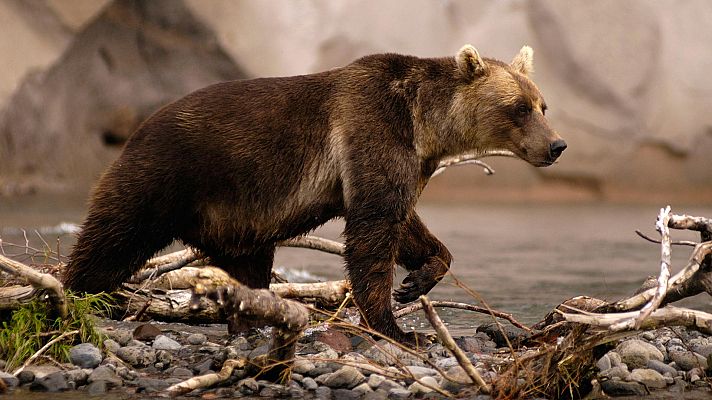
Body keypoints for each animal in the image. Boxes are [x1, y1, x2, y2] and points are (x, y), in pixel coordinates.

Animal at [64, 44, 566, 344]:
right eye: (519, 107)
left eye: (543, 105)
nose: (556, 145)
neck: (425, 126)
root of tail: (137, 128)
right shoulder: (373, 129)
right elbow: (372, 231)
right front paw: (397, 326)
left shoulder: (405, 160)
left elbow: (403, 223)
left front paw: (418, 279)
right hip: (167, 174)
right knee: (113, 234)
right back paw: (79, 296)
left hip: (237, 217)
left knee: (249, 264)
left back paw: (249, 314)